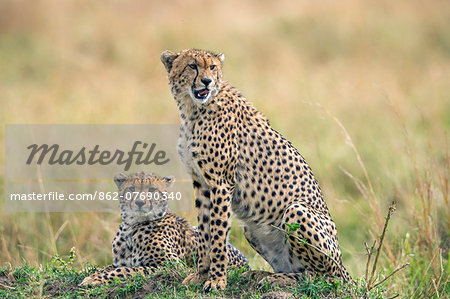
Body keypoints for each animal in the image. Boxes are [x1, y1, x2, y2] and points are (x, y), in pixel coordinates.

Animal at [81, 171, 250, 286]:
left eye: (152, 189)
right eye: (131, 188)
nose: (140, 203)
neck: (132, 227)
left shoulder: (172, 265)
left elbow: (130, 269)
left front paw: (95, 279)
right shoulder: (120, 262)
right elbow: (108, 267)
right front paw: (91, 275)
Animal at [160, 48, 354, 290]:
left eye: (212, 67)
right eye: (192, 66)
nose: (206, 81)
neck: (193, 109)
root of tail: (344, 269)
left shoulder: (221, 184)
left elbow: (218, 234)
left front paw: (217, 280)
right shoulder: (201, 183)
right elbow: (205, 230)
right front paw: (201, 274)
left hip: (297, 212)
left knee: (320, 278)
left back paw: (274, 279)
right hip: (251, 230)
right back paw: (261, 275)